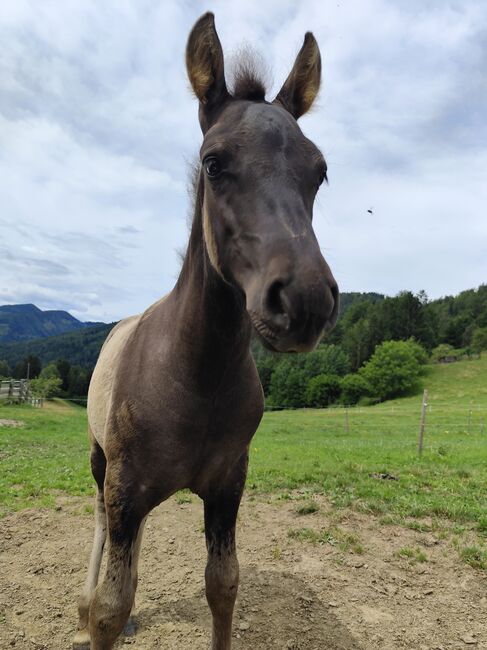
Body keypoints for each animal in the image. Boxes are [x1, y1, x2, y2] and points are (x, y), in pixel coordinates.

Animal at [73, 11, 340, 648]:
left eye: (319, 172)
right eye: (214, 162)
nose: (305, 301)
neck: (193, 374)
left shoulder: (226, 486)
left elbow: (223, 586)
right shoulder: (123, 488)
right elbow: (109, 609)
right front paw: (98, 609)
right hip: (100, 463)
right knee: (98, 524)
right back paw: (82, 598)